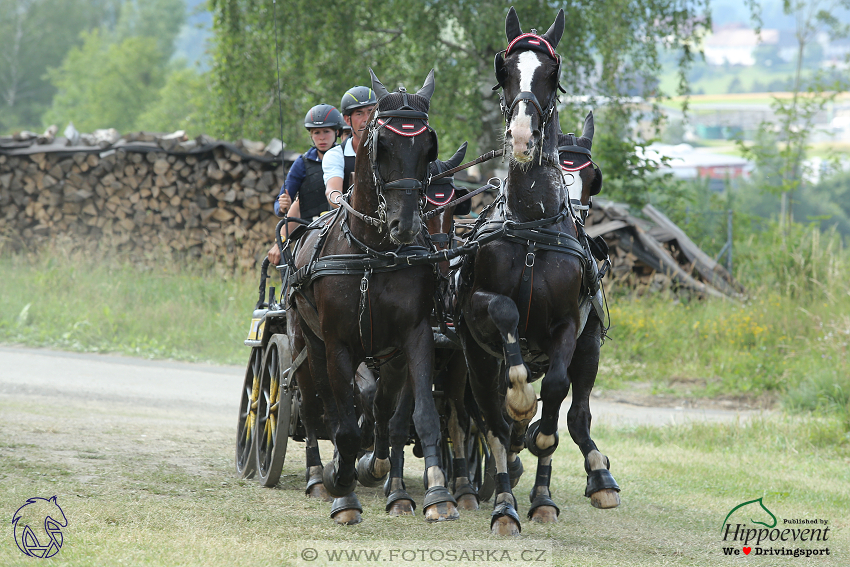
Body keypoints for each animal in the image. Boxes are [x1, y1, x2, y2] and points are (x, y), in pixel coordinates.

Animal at [288, 69, 458, 524]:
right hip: (306, 343)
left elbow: (420, 416)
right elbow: (344, 426)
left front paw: (436, 494)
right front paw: (342, 490)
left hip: (385, 355)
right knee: (315, 407)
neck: (373, 252)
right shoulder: (337, 344)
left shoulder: (414, 336)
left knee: (379, 411)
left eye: (427, 147)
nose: (406, 224)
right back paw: (320, 478)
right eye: (383, 147)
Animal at [458, 6, 616, 536]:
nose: (523, 138)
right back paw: (504, 505)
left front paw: (542, 445)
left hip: (588, 350)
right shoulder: (476, 307)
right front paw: (519, 399)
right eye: (505, 70)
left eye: (552, 74)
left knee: (574, 412)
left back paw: (558, 491)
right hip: (473, 358)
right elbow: (506, 313)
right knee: (489, 420)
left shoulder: (570, 326)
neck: (532, 226)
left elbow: (555, 395)